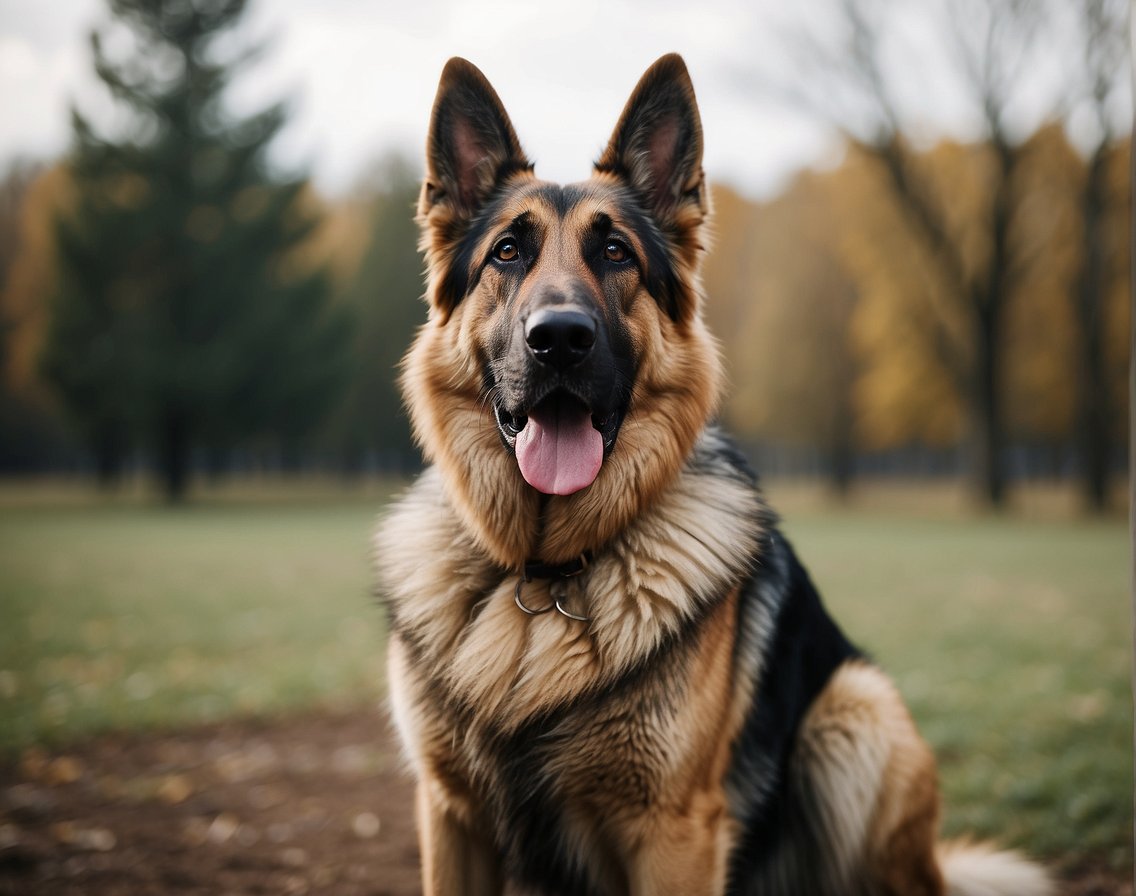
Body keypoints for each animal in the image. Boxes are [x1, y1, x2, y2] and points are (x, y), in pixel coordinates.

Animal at [374, 55, 1054, 894]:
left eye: (616, 254)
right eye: (507, 252)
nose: (559, 339)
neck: (543, 574)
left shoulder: (674, 831)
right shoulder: (450, 815)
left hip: (854, 712)